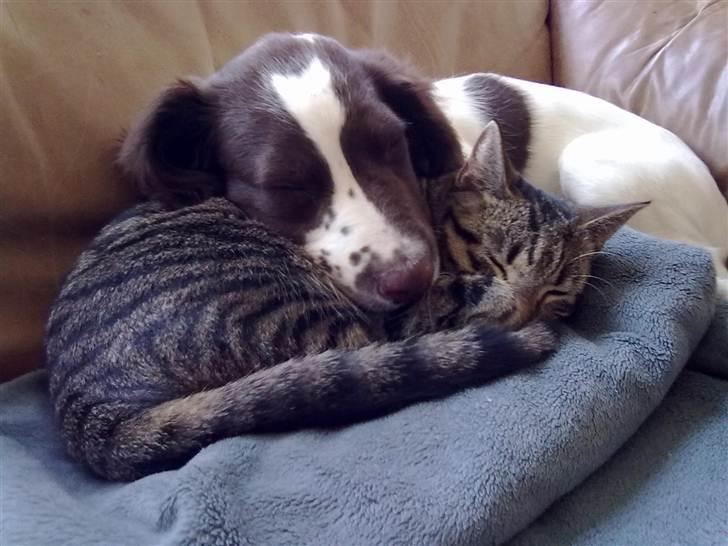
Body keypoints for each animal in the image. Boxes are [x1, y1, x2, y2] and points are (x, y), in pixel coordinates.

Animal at [47, 121, 648, 478]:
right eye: (493, 259)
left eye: (555, 292)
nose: (525, 310)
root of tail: (83, 406)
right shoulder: (408, 305)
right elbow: (449, 299)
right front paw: (492, 303)